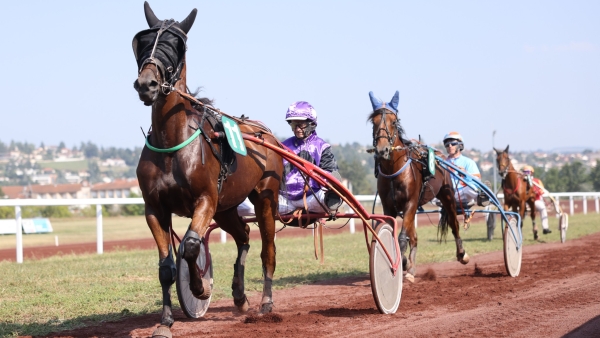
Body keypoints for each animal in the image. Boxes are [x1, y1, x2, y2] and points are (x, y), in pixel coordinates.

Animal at [132, 2, 282, 336]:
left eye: (175, 45)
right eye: (143, 42)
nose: (146, 84)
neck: (172, 141)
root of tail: (265, 133)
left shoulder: (205, 200)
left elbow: (189, 246)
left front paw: (199, 288)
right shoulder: (155, 208)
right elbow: (166, 266)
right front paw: (166, 320)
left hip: (264, 197)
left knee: (267, 248)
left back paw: (266, 302)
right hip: (226, 207)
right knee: (243, 235)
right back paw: (240, 297)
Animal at [368, 90, 472, 282]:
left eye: (394, 122)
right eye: (374, 122)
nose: (382, 150)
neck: (394, 171)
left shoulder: (410, 202)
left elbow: (402, 238)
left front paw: (401, 262)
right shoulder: (389, 207)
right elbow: (399, 234)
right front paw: (404, 263)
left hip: (447, 195)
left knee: (454, 223)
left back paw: (462, 254)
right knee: (414, 237)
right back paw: (411, 269)